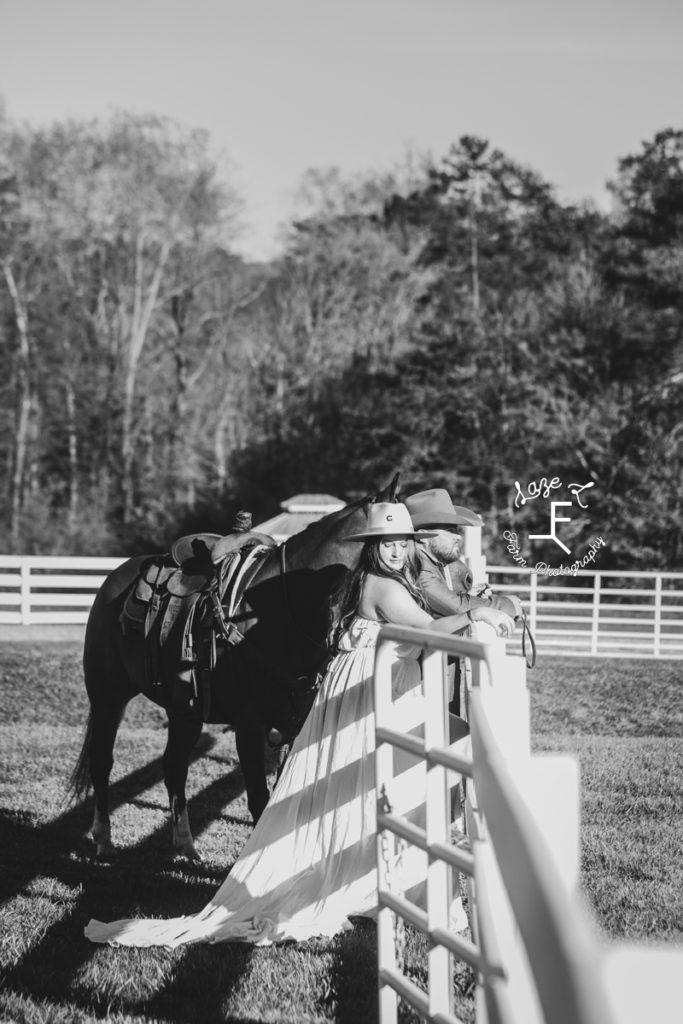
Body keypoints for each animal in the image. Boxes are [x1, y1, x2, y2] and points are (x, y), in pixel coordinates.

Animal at [69, 475, 401, 860]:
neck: (282, 610)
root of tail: (112, 581)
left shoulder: (294, 723)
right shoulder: (250, 725)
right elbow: (259, 799)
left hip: (184, 710)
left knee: (174, 765)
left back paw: (186, 845)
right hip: (108, 697)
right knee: (102, 761)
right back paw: (103, 839)